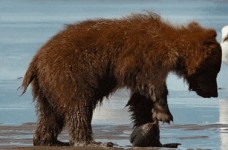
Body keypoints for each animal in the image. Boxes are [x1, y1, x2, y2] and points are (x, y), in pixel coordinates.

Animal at [20, 12, 221, 146]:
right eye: (215, 70)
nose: (214, 93)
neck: (173, 50)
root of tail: (36, 62)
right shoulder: (145, 58)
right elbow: (153, 85)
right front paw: (164, 114)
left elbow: (141, 99)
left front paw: (149, 129)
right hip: (69, 74)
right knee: (78, 106)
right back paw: (92, 142)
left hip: (48, 85)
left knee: (50, 114)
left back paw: (48, 140)